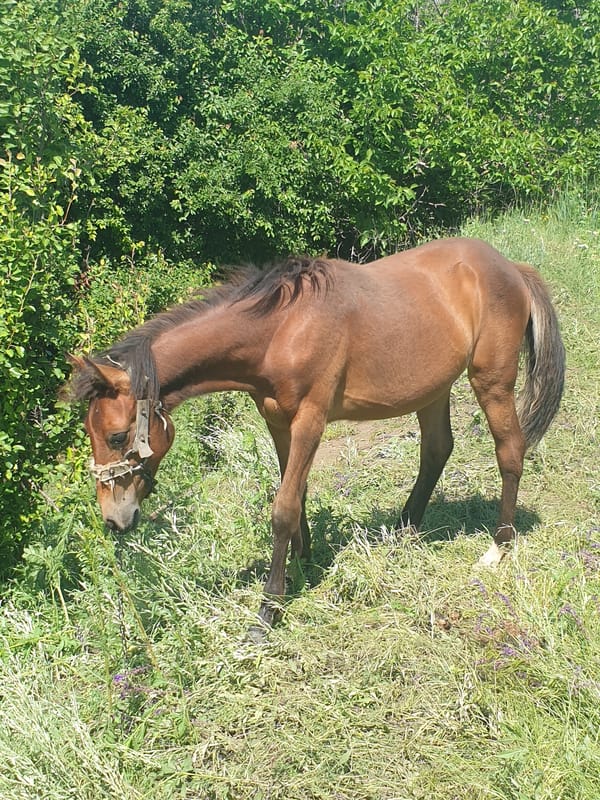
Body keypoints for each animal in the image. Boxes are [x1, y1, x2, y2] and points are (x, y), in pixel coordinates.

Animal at [69, 237, 565, 636]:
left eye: (117, 437)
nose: (114, 519)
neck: (279, 331)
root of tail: (509, 266)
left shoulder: (310, 419)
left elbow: (283, 507)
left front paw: (268, 609)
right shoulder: (277, 421)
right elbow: (298, 491)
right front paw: (302, 564)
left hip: (492, 382)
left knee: (510, 451)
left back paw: (498, 547)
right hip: (433, 389)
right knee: (437, 450)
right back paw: (404, 531)